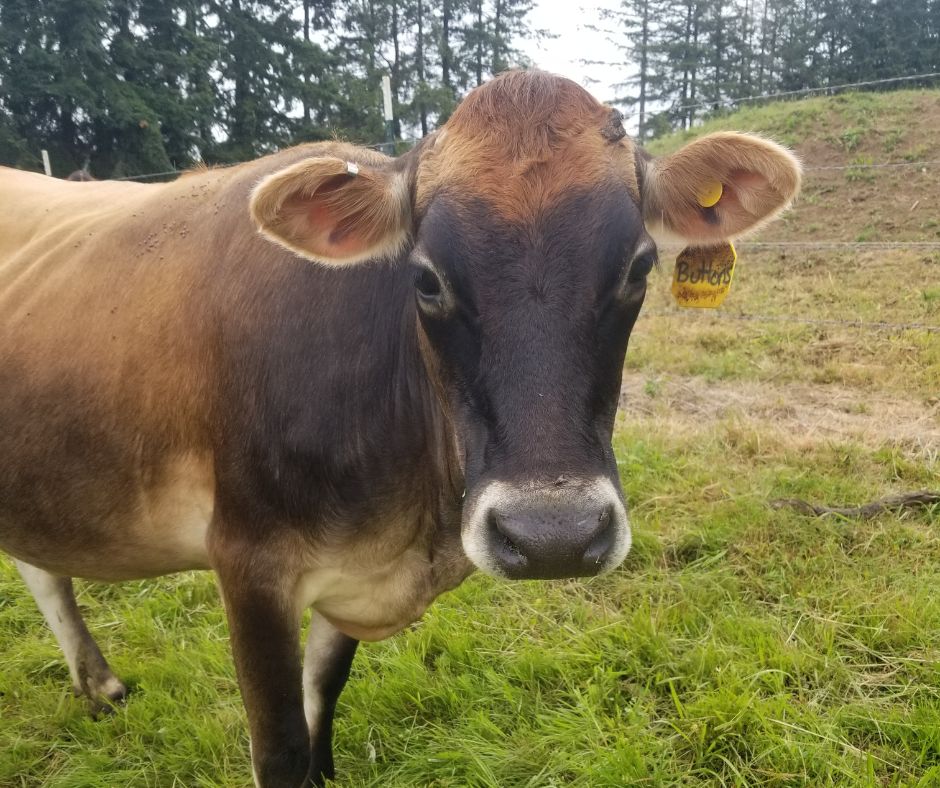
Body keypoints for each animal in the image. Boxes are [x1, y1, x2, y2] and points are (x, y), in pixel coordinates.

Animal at [0, 70, 800, 786]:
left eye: (638, 268)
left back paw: (99, 684)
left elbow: (323, 699)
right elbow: (281, 749)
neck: (415, 526)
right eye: (425, 278)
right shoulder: (248, 562)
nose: (554, 537)